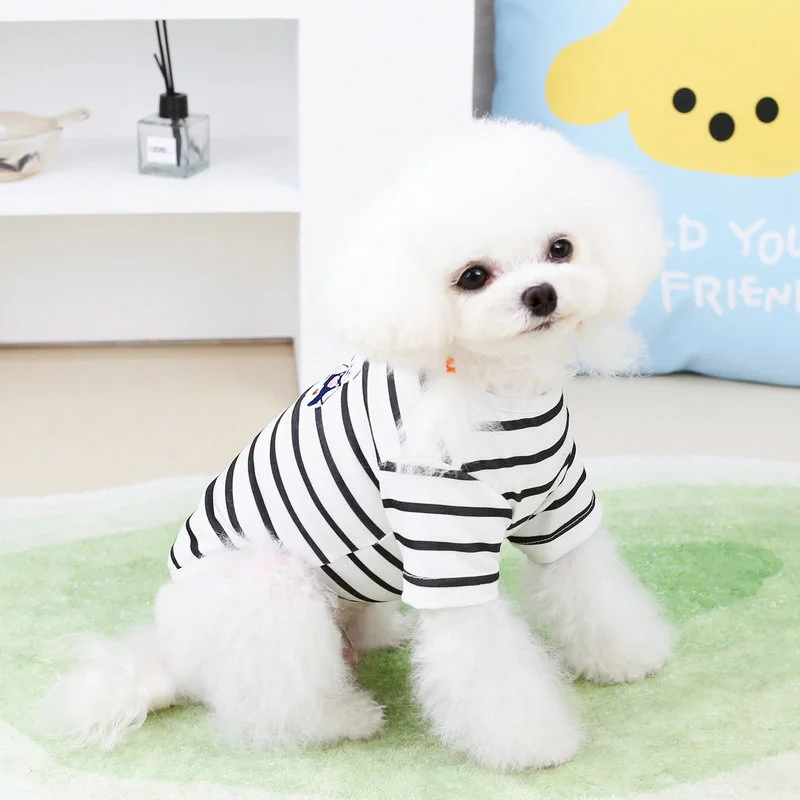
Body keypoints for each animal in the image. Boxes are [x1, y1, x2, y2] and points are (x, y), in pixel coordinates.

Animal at [41, 119, 673, 772]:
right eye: (473, 276)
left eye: (561, 248)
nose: (541, 294)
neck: (501, 394)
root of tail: (174, 659)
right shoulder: (444, 542)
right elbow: (486, 661)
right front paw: (532, 743)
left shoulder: (560, 507)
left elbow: (592, 588)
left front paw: (629, 655)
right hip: (271, 585)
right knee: (274, 705)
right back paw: (342, 717)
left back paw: (382, 634)